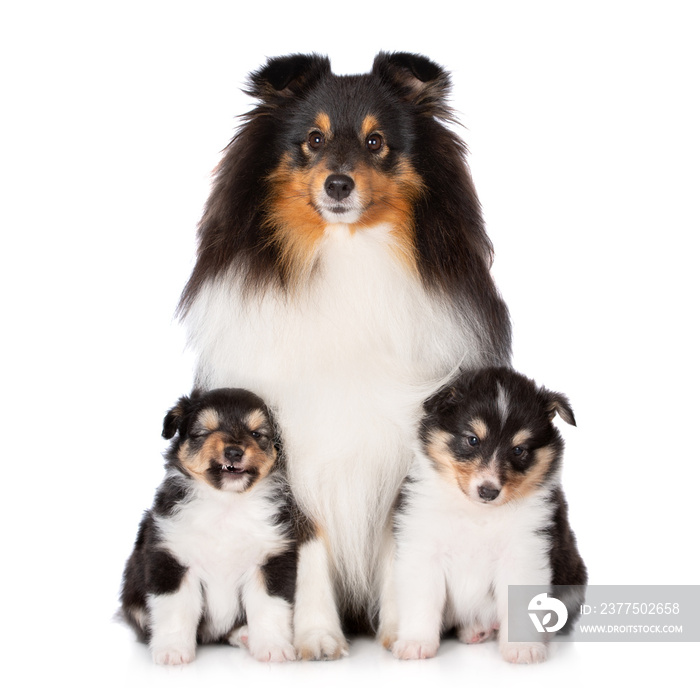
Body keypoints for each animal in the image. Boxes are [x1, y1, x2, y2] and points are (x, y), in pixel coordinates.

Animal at [386, 370, 588, 664]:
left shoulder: (523, 552)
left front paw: (522, 648)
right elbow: (422, 601)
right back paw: (476, 630)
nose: (488, 491)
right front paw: (416, 644)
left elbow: (519, 604)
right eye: (472, 439)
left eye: (518, 450)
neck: (477, 512)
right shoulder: (423, 548)